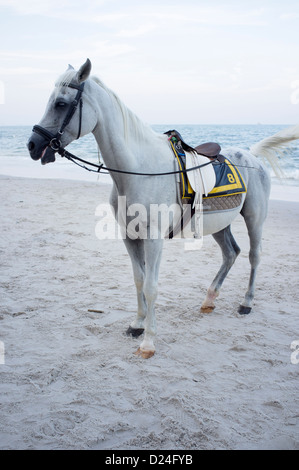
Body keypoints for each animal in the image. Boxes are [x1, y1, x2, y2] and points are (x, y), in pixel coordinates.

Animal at [28, 60, 299, 358]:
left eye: (61, 103)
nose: (32, 144)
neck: (139, 169)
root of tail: (251, 155)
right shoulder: (129, 236)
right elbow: (139, 280)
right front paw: (137, 325)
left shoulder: (154, 238)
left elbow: (151, 286)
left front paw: (148, 342)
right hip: (220, 225)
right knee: (231, 253)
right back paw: (209, 299)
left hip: (254, 219)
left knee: (254, 256)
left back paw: (247, 303)